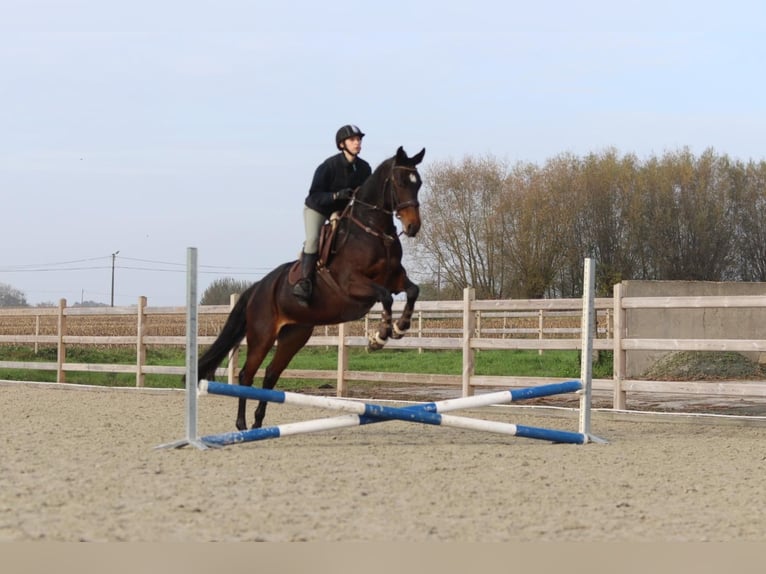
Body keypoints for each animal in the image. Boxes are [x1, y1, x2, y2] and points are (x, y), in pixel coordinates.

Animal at [196, 147, 426, 432]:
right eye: (400, 182)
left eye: (419, 183)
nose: (413, 227)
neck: (374, 232)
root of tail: (258, 288)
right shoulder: (353, 284)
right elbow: (385, 297)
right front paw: (379, 337)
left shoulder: (395, 280)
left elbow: (413, 291)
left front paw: (400, 328)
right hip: (262, 335)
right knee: (246, 374)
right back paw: (241, 424)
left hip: (295, 335)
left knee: (271, 375)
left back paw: (259, 423)